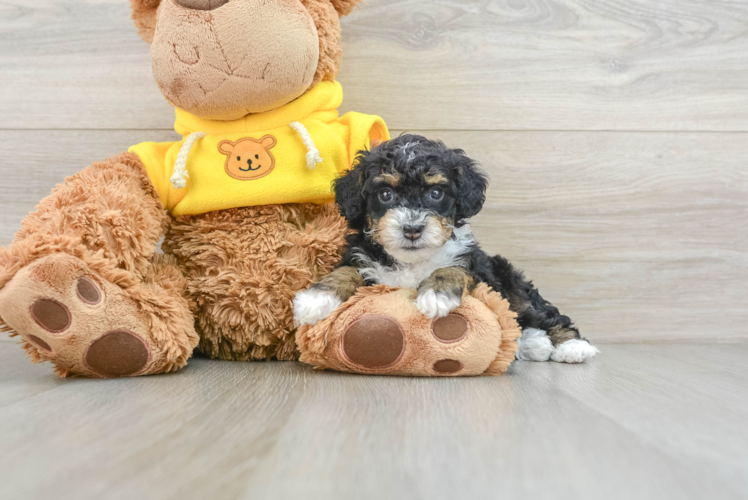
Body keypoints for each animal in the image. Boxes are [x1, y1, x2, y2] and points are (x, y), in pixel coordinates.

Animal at [296, 135, 600, 364]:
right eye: (385, 194)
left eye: (435, 193)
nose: (412, 229)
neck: (412, 262)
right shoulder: (362, 259)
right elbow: (346, 271)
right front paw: (316, 298)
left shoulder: (474, 267)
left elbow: (452, 268)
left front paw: (437, 293)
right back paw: (534, 344)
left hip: (510, 283)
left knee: (543, 313)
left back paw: (570, 346)